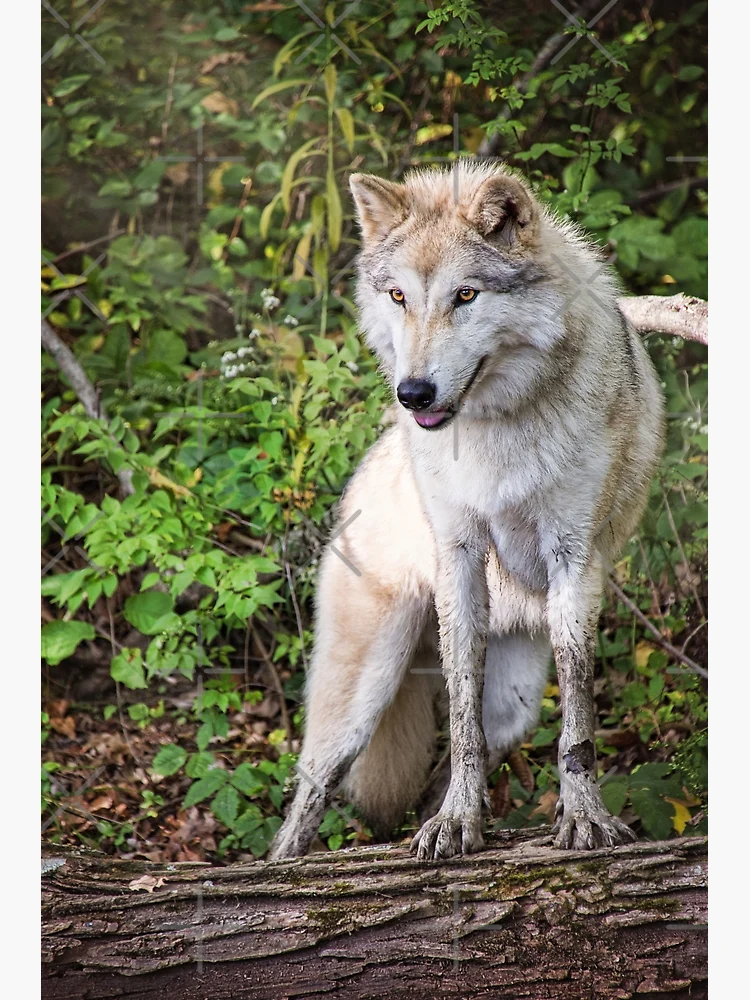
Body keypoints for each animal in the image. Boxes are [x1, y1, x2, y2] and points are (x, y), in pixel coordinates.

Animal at [269, 162, 664, 862]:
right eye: (399, 296)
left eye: (466, 296)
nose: (414, 393)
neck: (498, 426)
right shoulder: (458, 554)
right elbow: (459, 721)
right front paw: (459, 824)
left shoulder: (573, 560)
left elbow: (578, 719)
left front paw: (582, 818)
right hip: (364, 691)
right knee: (310, 788)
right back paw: (280, 869)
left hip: (516, 700)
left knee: (476, 743)